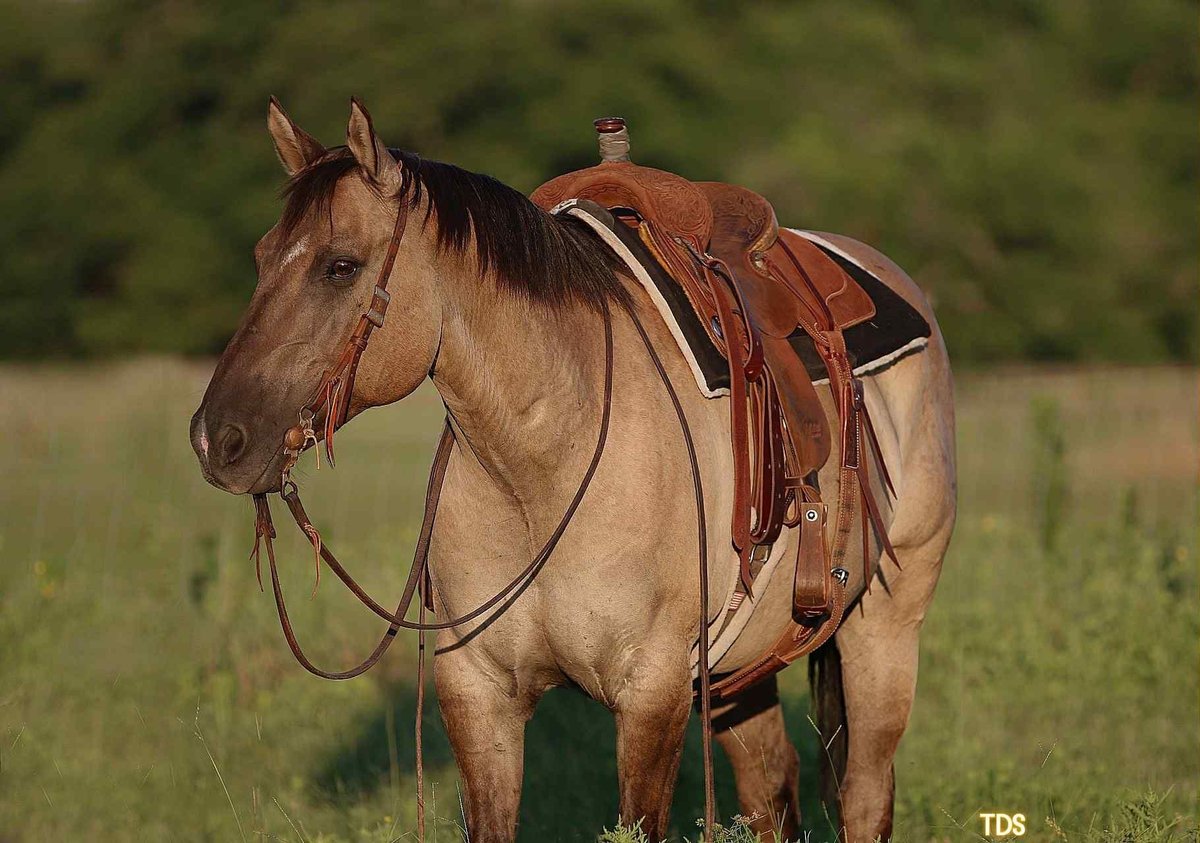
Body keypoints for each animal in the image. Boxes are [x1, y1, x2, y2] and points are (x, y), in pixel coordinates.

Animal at [190, 99, 956, 842]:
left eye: (340, 266)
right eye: (262, 257)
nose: (216, 439)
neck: (540, 467)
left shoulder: (651, 691)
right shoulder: (477, 691)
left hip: (886, 625)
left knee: (864, 796)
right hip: (741, 671)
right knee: (771, 792)